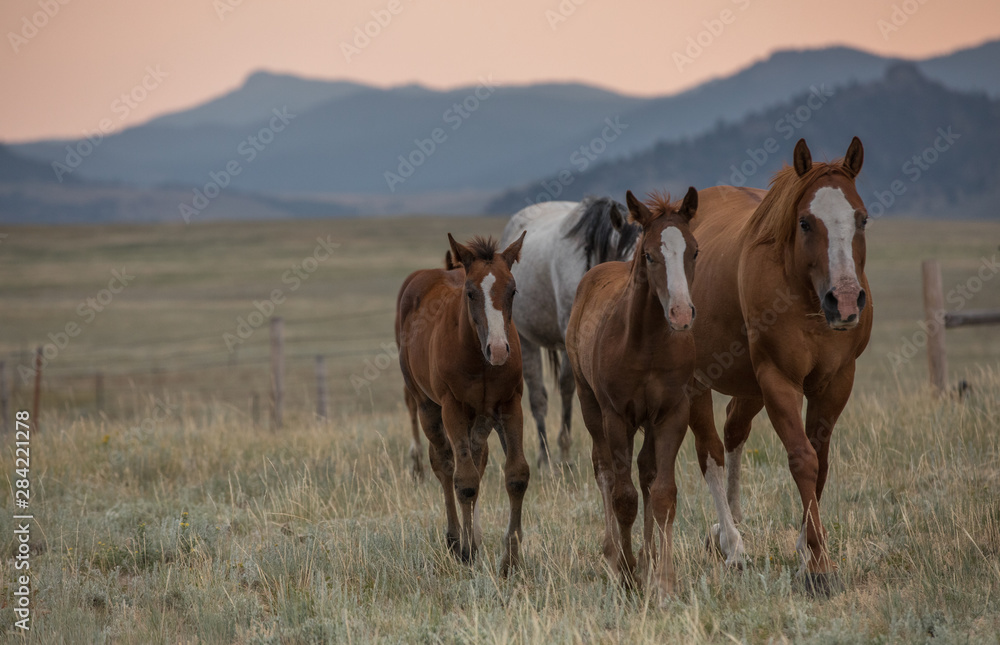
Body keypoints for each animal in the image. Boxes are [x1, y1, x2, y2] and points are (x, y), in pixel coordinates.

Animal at [394, 233, 532, 572]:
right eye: (470, 292)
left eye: (513, 290)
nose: (499, 349)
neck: (479, 360)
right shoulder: (453, 409)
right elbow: (465, 481)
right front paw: (467, 551)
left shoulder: (510, 405)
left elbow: (516, 475)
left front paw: (511, 558)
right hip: (427, 406)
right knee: (444, 464)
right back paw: (456, 540)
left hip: (480, 419)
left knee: (477, 460)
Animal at [568, 187, 708, 600]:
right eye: (649, 254)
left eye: (694, 251)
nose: (681, 314)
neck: (647, 345)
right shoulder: (617, 417)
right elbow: (624, 497)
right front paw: (628, 573)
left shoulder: (672, 414)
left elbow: (662, 493)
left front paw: (664, 580)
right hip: (589, 405)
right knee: (604, 472)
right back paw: (615, 553)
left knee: (646, 472)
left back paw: (647, 557)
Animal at [692, 137, 872, 592]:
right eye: (805, 222)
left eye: (862, 218)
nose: (845, 301)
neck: (806, 297)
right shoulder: (778, 379)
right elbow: (802, 459)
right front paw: (820, 566)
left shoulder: (835, 382)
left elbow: (821, 461)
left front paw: (806, 549)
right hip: (700, 383)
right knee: (711, 454)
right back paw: (733, 546)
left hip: (748, 385)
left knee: (733, 431)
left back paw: (725, 532)